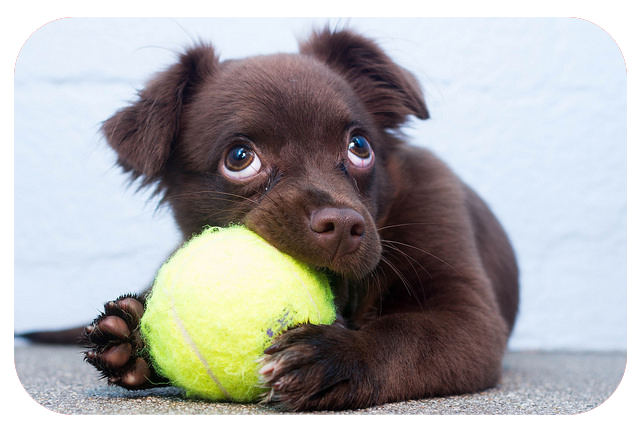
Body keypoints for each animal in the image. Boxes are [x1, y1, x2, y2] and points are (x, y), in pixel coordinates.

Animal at [82, 28, 516, 412]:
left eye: (360, 147)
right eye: (239, 158)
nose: (342, 226)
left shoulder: (468, 317)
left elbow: (404, 335)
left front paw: (335, 356)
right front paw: (137, 341)